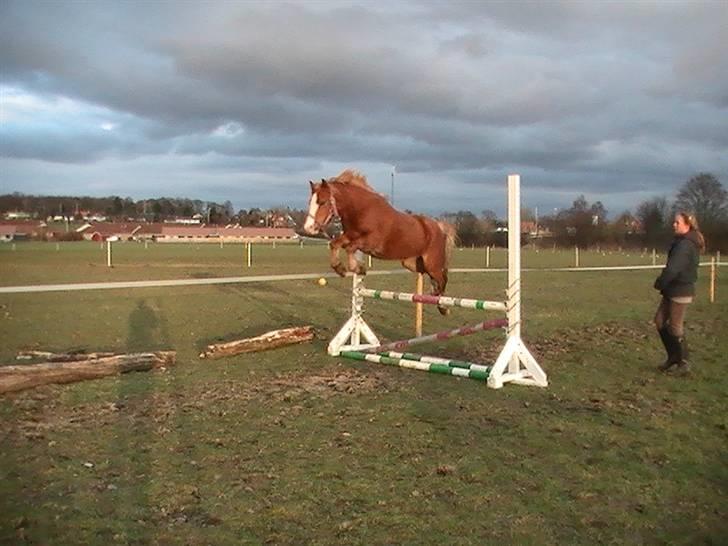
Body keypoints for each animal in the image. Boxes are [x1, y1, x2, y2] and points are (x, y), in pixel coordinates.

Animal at [302, 170, 456, 314]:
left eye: (322, 202)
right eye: (310, 202)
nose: (309, 228)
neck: (362, 211)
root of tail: (439, 227)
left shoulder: (371, 242)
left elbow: (350, 248)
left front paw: (357, 268)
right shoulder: (349, 236)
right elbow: (335, 244)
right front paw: (341, 269)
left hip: (432, 264)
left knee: (443, 278)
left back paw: (443, 307)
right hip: (413, 264)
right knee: (434, 278)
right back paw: (434, 294)